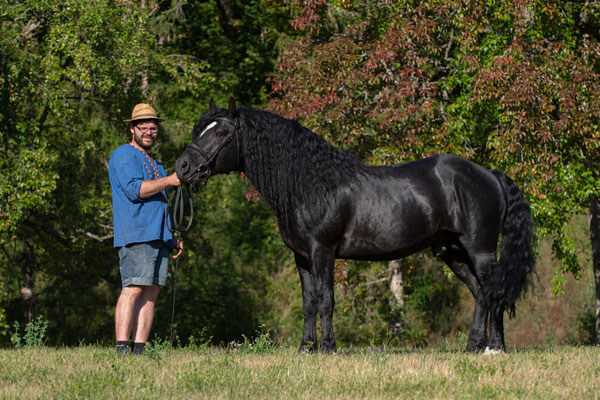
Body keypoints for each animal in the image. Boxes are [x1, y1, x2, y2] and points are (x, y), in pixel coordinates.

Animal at [176, 99, 536, 354]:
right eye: (200, 130)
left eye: (221, 133)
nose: (183, 167)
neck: (311, 183)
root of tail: (490, 175)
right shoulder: (301, 257)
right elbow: (308, 302)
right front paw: (305, 348)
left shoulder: (323, 252)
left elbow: (326, 299)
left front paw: (328, 348)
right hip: (453, 252)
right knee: (480, 293)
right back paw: (473, 346)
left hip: (481, 250)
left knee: (494, 290)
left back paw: (494, 348)